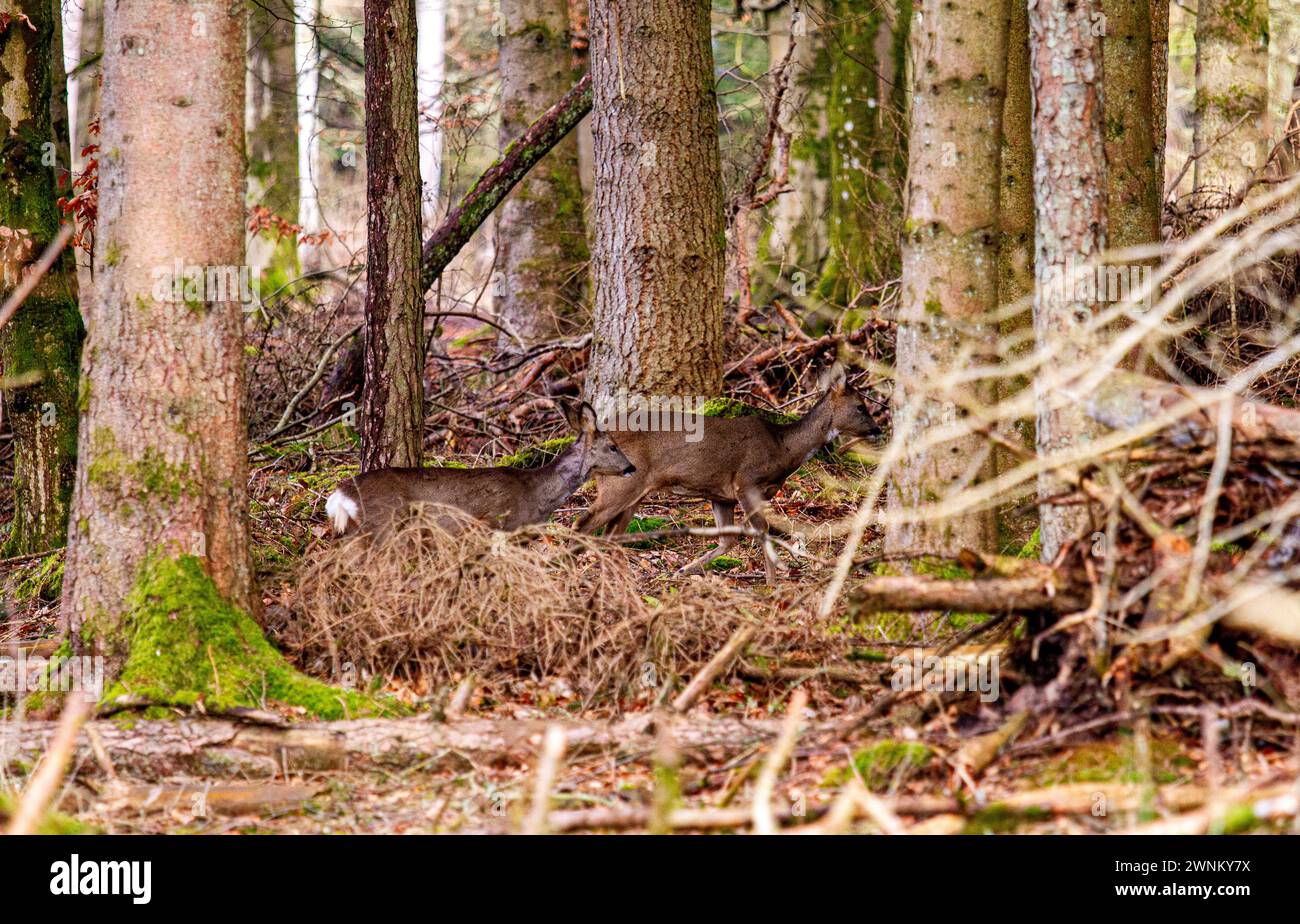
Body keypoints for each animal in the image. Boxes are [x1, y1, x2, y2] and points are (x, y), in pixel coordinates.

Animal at [327, 400, 637, 538]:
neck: (536, 494)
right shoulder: (496, 525)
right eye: (613, 446)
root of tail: (340, 495)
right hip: (383, 525)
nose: (631, 467)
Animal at [577, 363, 883, 584]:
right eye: (860, 406)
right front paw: (773, 583)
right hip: (619, 485)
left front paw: (683, 570)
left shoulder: (721, 495)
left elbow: (728, 540)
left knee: (609, 535)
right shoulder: (746, 483)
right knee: (583, 524)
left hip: (634, 491)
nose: (878, 429)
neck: (783, 447)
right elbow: (761, 531)